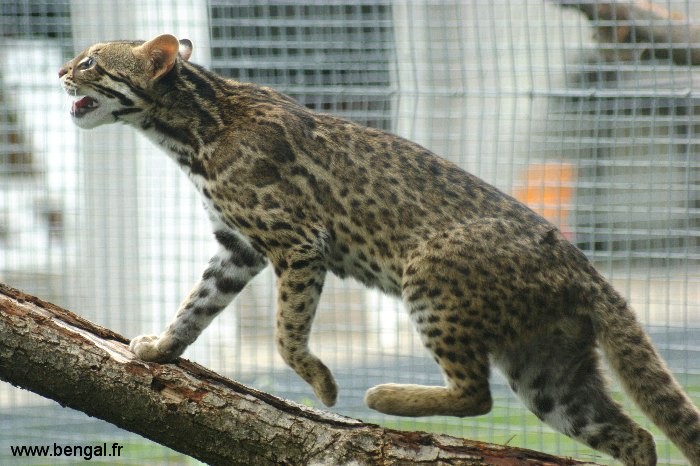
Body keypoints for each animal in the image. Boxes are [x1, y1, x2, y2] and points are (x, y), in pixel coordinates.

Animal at [59, 34, 700, 465]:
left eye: (91, 60)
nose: (62, 70)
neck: (190, 127)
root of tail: (585, 267)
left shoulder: (297, 242)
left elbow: (286, 332)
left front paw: (321, 384)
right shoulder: (236, 249)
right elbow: (195, 307)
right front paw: (158, 350)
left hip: (432, 281)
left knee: (476, 394)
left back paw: (385, 396)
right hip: (549, 369)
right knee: (632, 432)